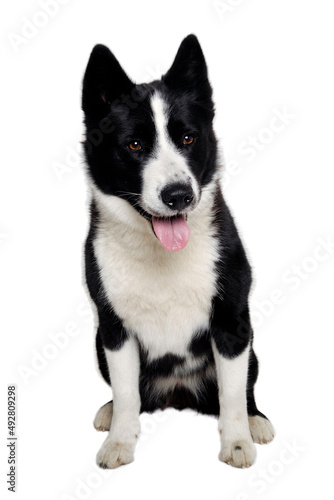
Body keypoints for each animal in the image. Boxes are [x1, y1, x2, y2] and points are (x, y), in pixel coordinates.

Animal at [81, 34, 274, 468]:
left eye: (187, 138)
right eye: (134, 144)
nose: (178, 195)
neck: (160, 255)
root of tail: (178, 394)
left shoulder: (231, 321)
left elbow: (232, 394)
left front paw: (238, 442)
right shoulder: (113, 329)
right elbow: (126, 393)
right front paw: (119, 442)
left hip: (251, 346)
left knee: (243, 388)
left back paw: (256, 420)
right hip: (98, 344)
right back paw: (108, 411)